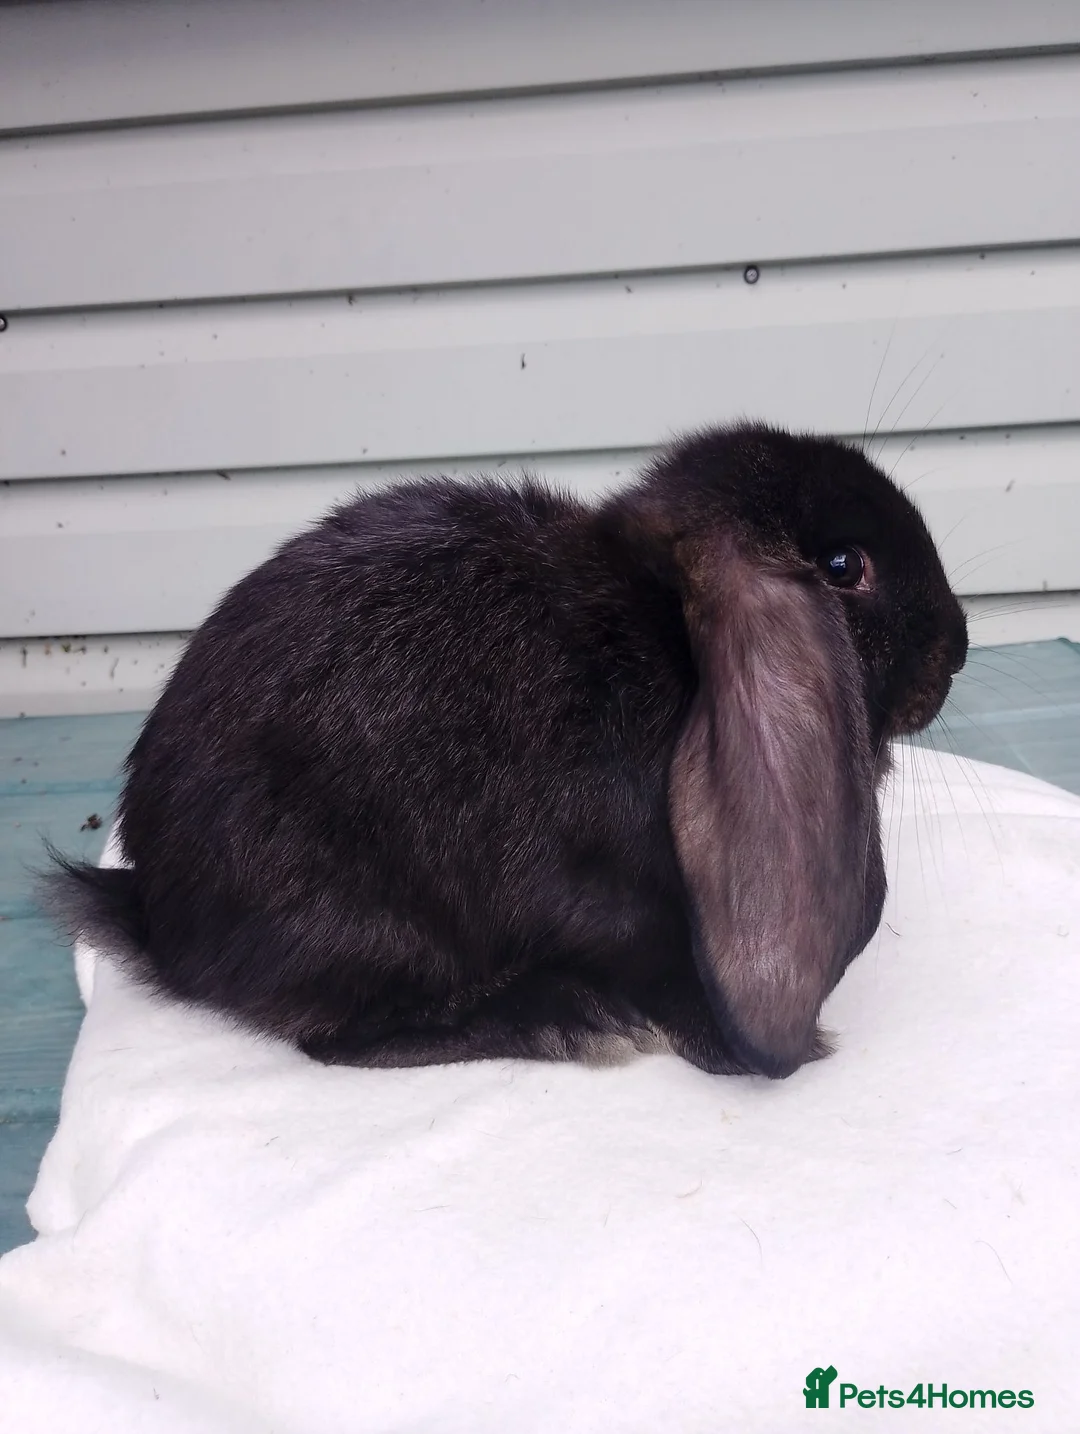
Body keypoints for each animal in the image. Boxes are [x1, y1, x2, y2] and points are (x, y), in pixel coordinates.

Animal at [48, 423, 968, 1079]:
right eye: (845, 566)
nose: (957, 648)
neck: (663, 642)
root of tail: (159, 917)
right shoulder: (608, 902)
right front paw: (728, 1046)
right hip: (374, 925)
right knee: (344, 1039)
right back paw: (559, 1021)